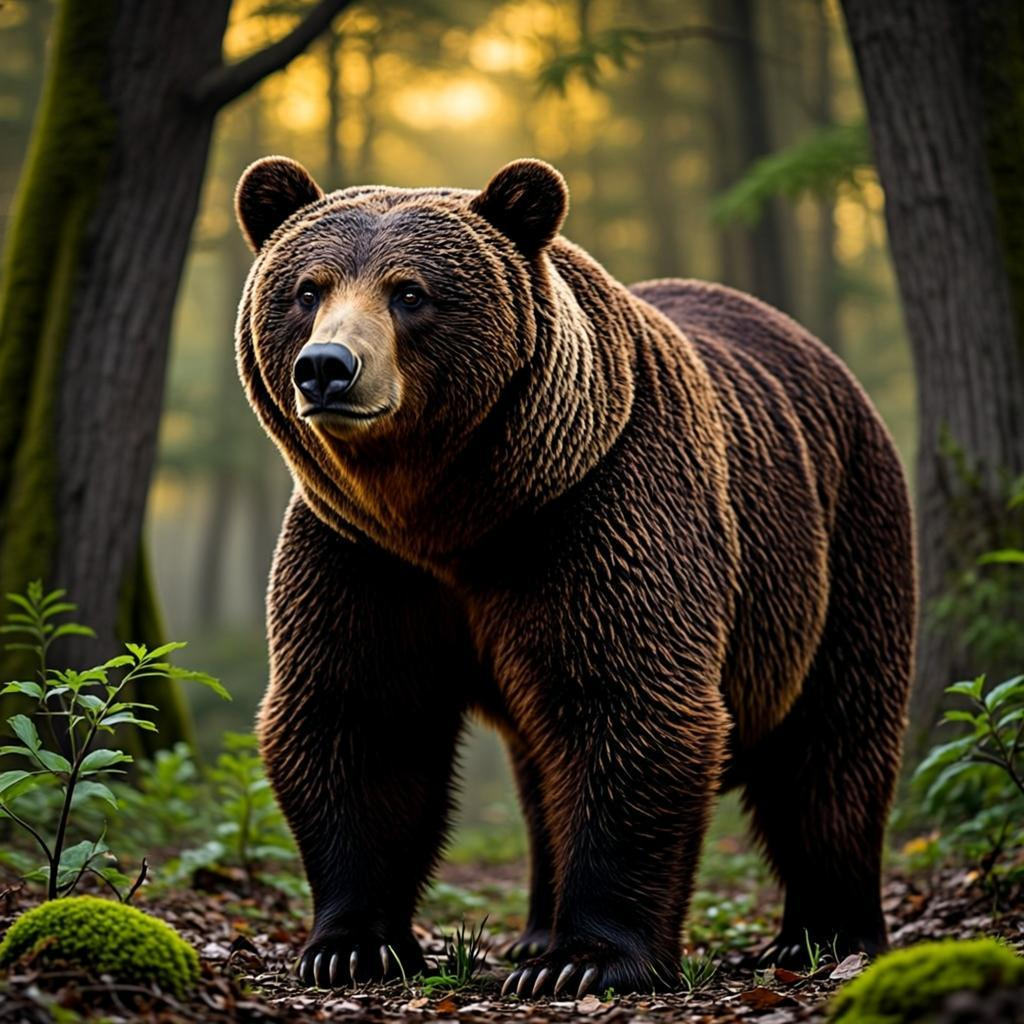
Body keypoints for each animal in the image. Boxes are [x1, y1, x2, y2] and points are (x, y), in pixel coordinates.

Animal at [233, 155, 915, 997]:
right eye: (308, 288)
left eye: (410, 292)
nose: (328, 368)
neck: (452, 514)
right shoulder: (363, 554)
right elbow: (359, 715)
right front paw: (350, 945)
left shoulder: (596, 511)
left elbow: (624, 704)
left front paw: (586, 960)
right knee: (539, 776)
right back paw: (533, 931)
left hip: (841, 542)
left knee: (833, 745)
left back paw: (828, 932)